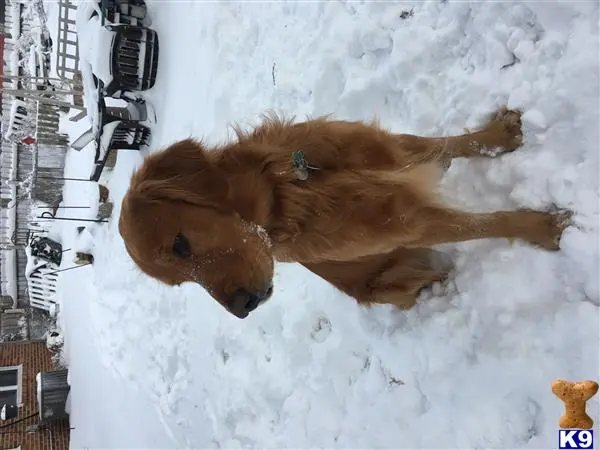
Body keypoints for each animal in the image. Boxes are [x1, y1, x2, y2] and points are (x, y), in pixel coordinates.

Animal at [118, 108, 572, 320]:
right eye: (182, 282)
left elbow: (444, 144)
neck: (289, 189)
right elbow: (481, 225)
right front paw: (544, 227)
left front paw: (499, 135)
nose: (245, 307)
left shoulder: (389, 151)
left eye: (181, 245)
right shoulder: (408, 224)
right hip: (389, 283)